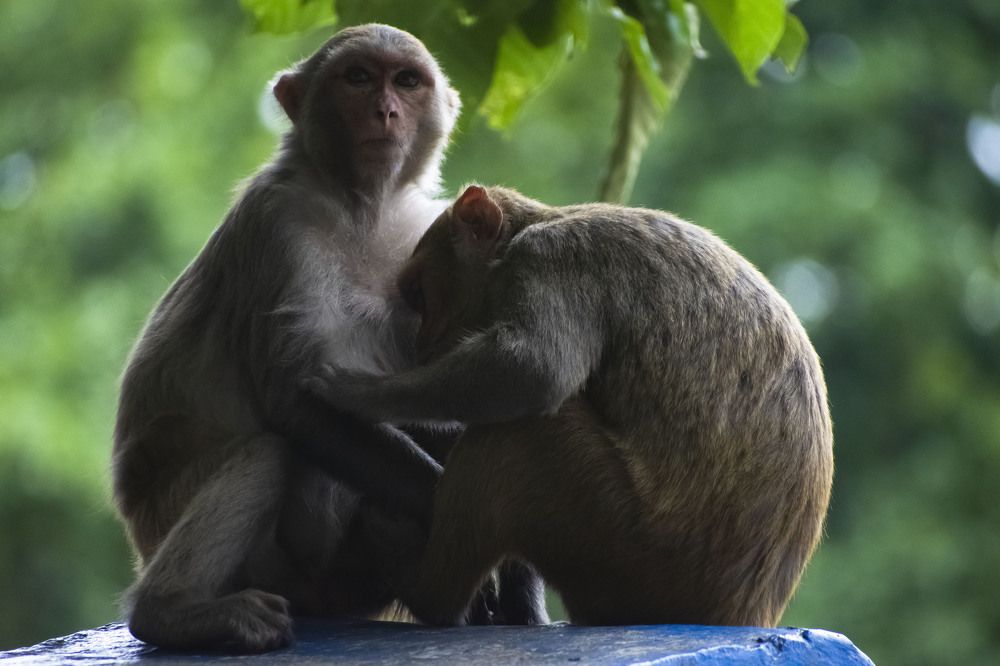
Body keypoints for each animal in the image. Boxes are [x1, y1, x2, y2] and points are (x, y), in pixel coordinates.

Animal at [113, 26, 545, 653]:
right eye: (358, 78)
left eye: (406, 81)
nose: (386, 110)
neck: (363, 205)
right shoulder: (277, 225)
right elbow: (297, 400)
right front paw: (459, 519)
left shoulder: (427, 235)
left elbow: (448, 396)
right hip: (250, 552)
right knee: (270, 452)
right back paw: (174, 611)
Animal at [303, 184, 835, 628]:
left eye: (418, 294)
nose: (421, 345)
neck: (535, 226)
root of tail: (741, 611)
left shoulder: (551, 261)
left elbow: (533, 369)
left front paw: (361, 394)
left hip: (623, 545)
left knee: (517, 436)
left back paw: (429, 594)